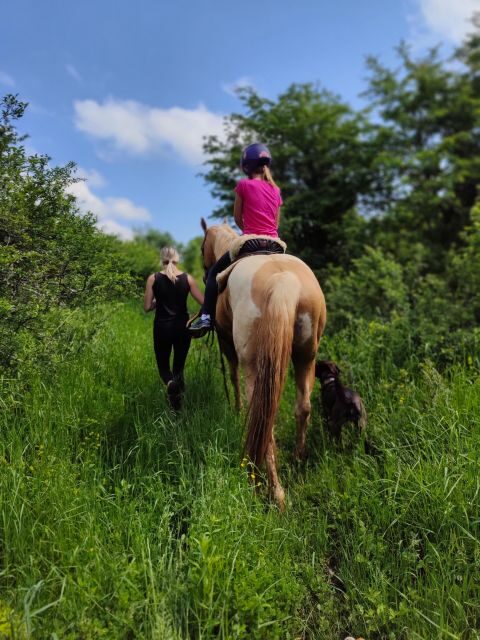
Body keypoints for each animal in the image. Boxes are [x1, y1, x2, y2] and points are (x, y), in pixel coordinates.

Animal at [200, 218, 327, 510]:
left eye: (202, 248)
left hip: (255, 367)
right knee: (303, 407)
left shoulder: (226, 341)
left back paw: (274, 494)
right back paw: (297, 458)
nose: (203, 270)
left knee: (263, 423)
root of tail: (284, 280)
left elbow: (232, 376)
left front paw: (236, 410)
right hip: (306, 357)